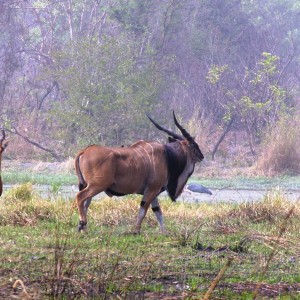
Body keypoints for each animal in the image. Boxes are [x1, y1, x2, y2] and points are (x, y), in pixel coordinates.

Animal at [74, 111, 204, 233]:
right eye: (194, 145)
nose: (202, 156)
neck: (166, 155)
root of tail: (84, 151)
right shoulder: (151, 190)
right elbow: (143, 211)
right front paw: (136, 231)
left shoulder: (153, 192)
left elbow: (158, 213)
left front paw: (165, 233)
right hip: (97, 185)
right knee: (80, 197)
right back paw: (82, 224)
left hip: (89, 185)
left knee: (85, 204)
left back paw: (84, 229)